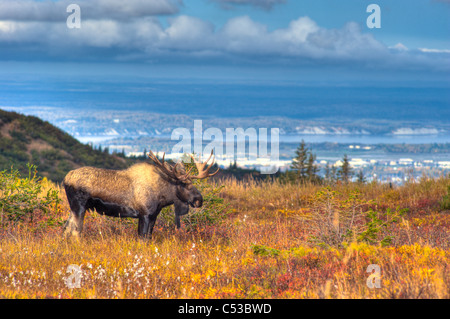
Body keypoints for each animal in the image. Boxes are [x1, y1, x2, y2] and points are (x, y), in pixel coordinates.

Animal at [62, 151, 220, 239]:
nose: (199, 200)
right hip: (79, 206)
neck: (162, 197)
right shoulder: (144, 214)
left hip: (73, 208)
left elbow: (148, 237)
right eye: (184, 184)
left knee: (66, 229)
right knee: (75, 231)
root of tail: (65, 179)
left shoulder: (153, 216)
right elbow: (142, 238)